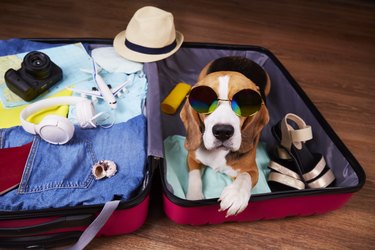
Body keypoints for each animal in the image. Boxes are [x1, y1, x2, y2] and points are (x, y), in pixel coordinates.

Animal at [181, 56, 270, 217]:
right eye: (204, 100)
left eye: (244, 103)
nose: (222, 131)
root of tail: (241, 57)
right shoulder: (192, 158)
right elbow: (194, 176)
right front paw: (194, 197)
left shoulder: (253, 170)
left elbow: (245, 176)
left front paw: (236, 195)